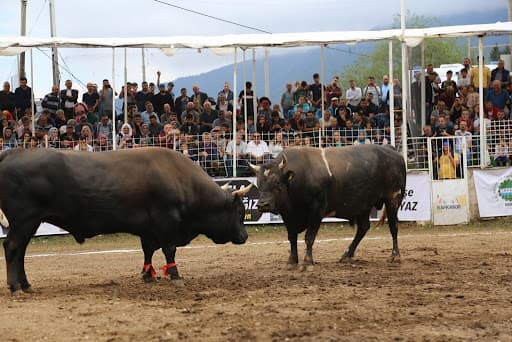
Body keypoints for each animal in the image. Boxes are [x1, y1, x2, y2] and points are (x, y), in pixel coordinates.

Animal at [0, 148, 249, 292]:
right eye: (238, 212)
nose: (245, 236)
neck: (181, 178)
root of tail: (13, 153)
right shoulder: (166, 222)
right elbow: (169, 250)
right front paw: (175, 275)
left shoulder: (148, 229)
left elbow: (148, 251)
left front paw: (148, 274)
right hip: (24, 220)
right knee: (12, 247)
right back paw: (14, 287)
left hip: (29, 223)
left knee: (20, 251)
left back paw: (26, 284)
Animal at [250, 144, 406, 268]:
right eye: (259, 184)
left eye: (277, 182)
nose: (263, 204)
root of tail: (391, 150)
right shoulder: (288, 215)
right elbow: (292, 237)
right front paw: (292, 261)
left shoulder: (316, 210)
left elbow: (309, 236)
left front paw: (308, 261)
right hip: (364, 205)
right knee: (363, 228)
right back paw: (347, 255)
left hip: (393, 198)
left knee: (393, 226)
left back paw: (395, 256)